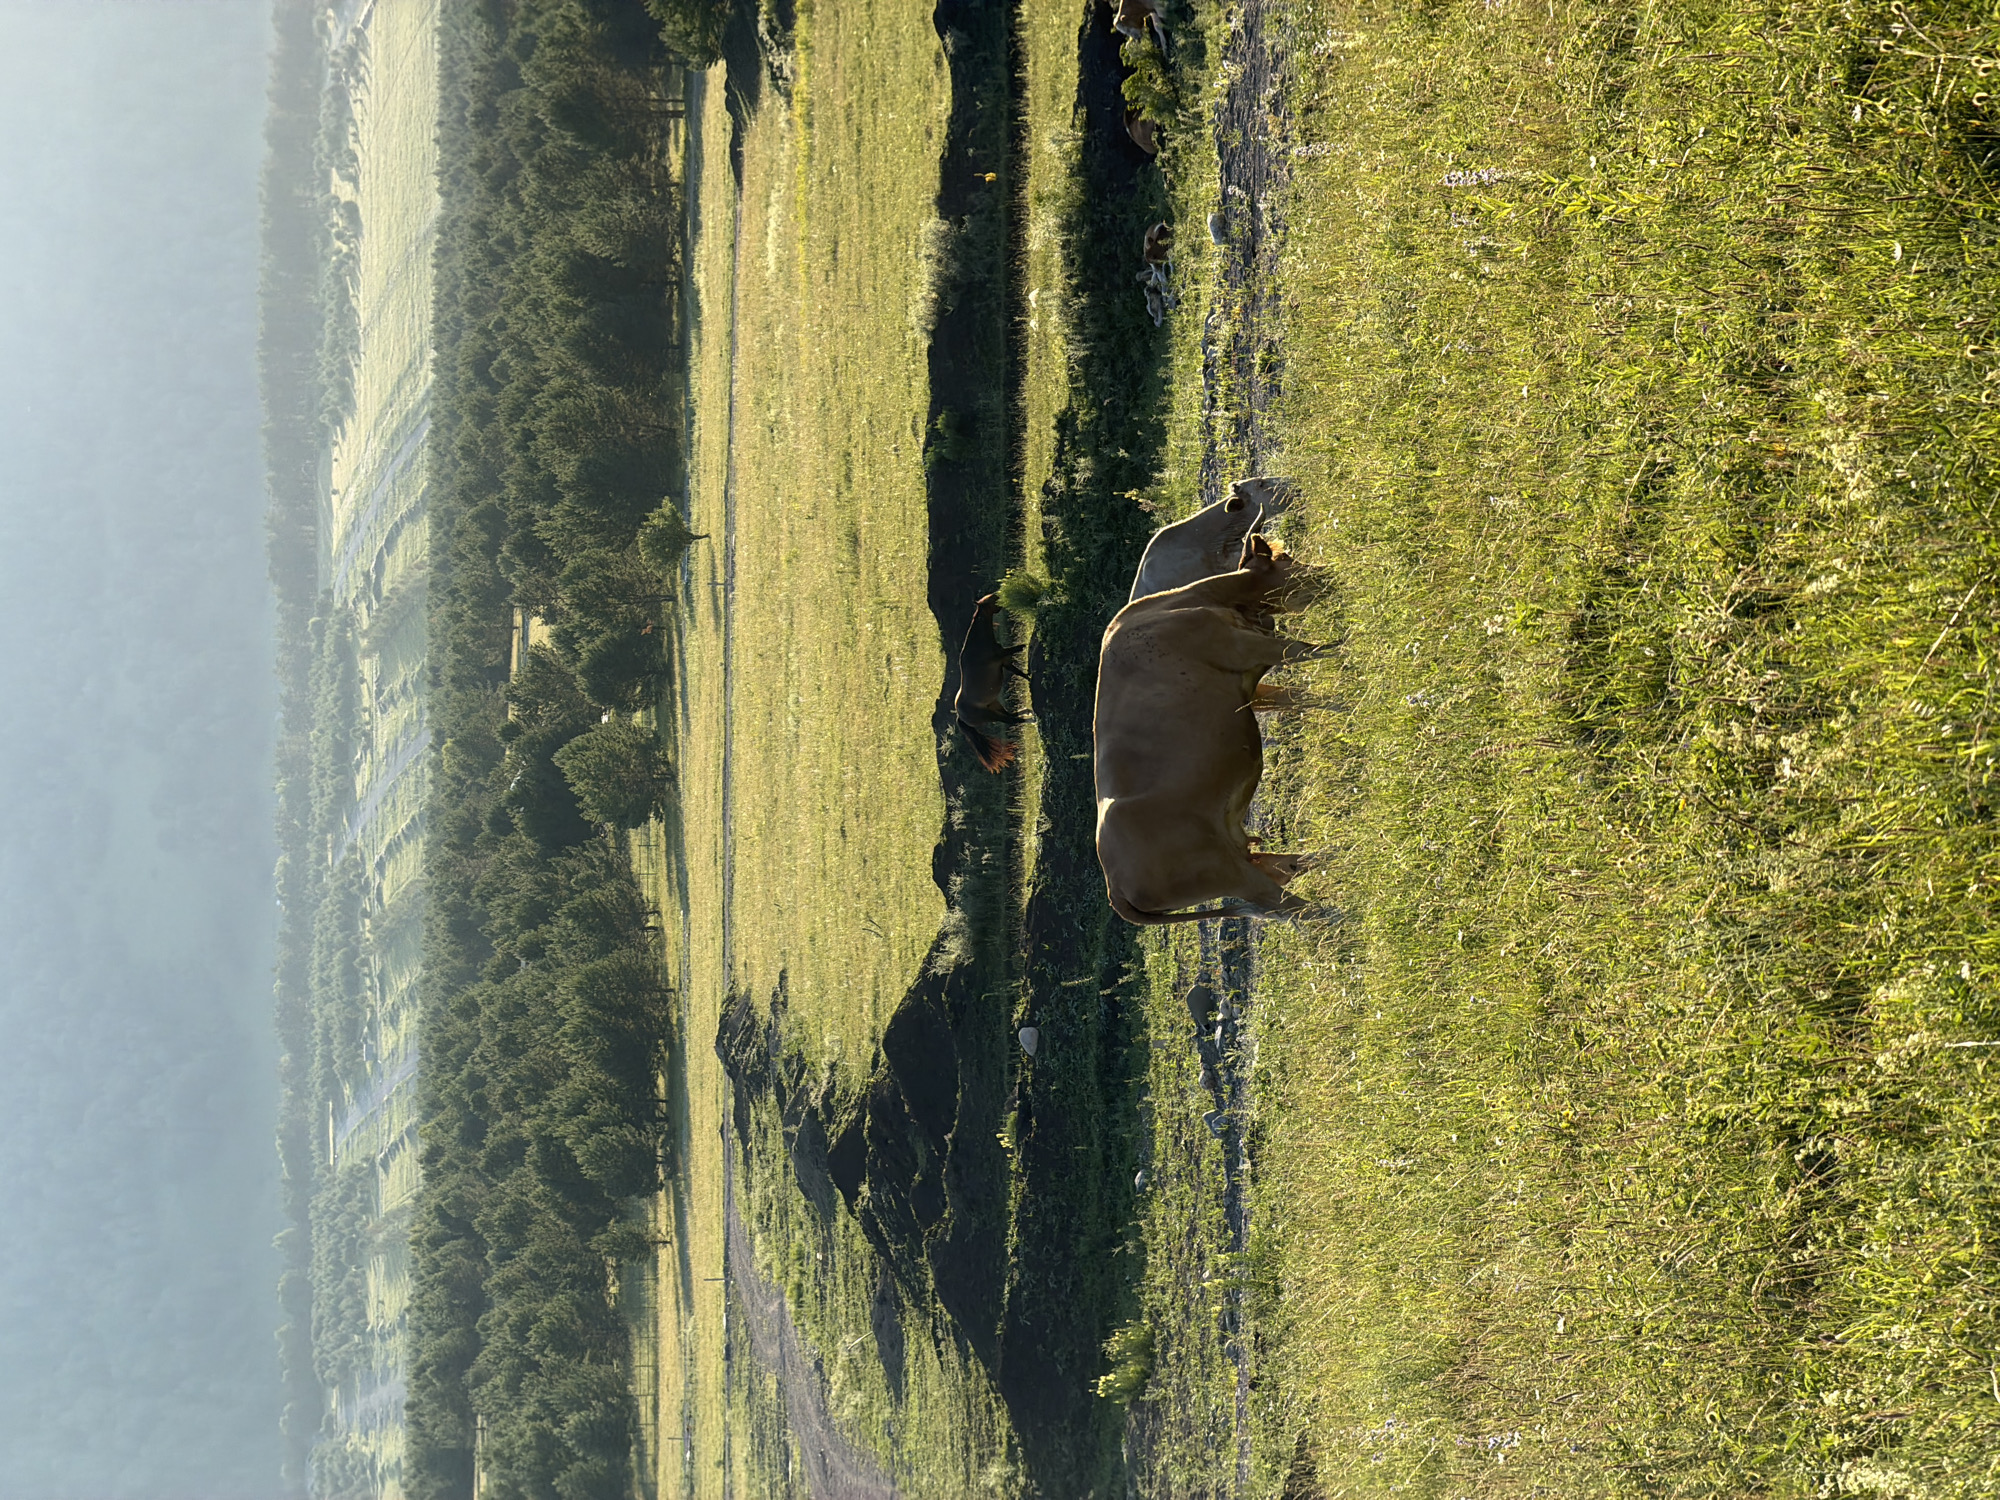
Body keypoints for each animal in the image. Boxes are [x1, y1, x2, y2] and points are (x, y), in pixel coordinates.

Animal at [954, 593, 1031, 772]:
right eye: (992, 599)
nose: (1002, 596)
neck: (979, 648)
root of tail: (960, 716)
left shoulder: (1005, 662)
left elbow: (1020, 673)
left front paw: (1030, 678)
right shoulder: (1004, 657)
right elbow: (1019, 648)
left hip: (995, 705)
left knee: (1010, 715)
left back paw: (1026, 712)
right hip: (991, 715)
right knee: (1011, 720)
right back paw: (1028, 720)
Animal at [1094, 534, 1331, 924]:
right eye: (1286, 560)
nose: (1329, 575)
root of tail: (1115, 889)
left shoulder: (1251, 688)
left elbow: (1302, 697)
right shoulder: (1246, 647)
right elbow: (1309, 651)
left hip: (1238, 854)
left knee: (1286, 873)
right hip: (1228, 872)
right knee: (1289, 907)